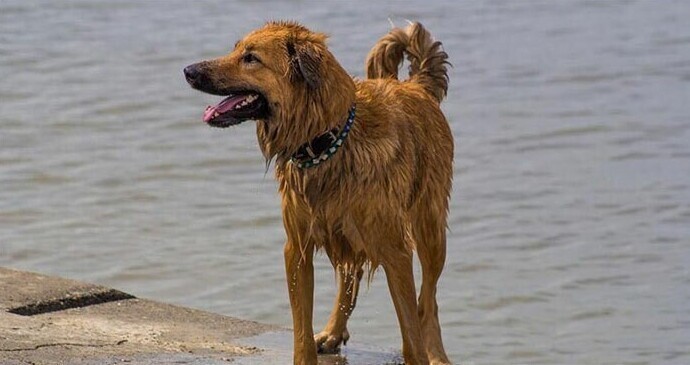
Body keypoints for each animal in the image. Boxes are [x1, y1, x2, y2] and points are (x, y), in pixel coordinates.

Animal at [183, 20, 452, 364]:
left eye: (251, 58)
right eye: (236, 49)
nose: (188, 71)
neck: (328, 141)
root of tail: (416, 86)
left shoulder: (396, 252)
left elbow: (411, 332)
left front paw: (421, 352)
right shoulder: (297, 248)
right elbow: (301, 329)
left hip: (430, 229)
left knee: (428, 299)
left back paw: (437, 353)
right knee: (352, 278)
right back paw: (334, 330)